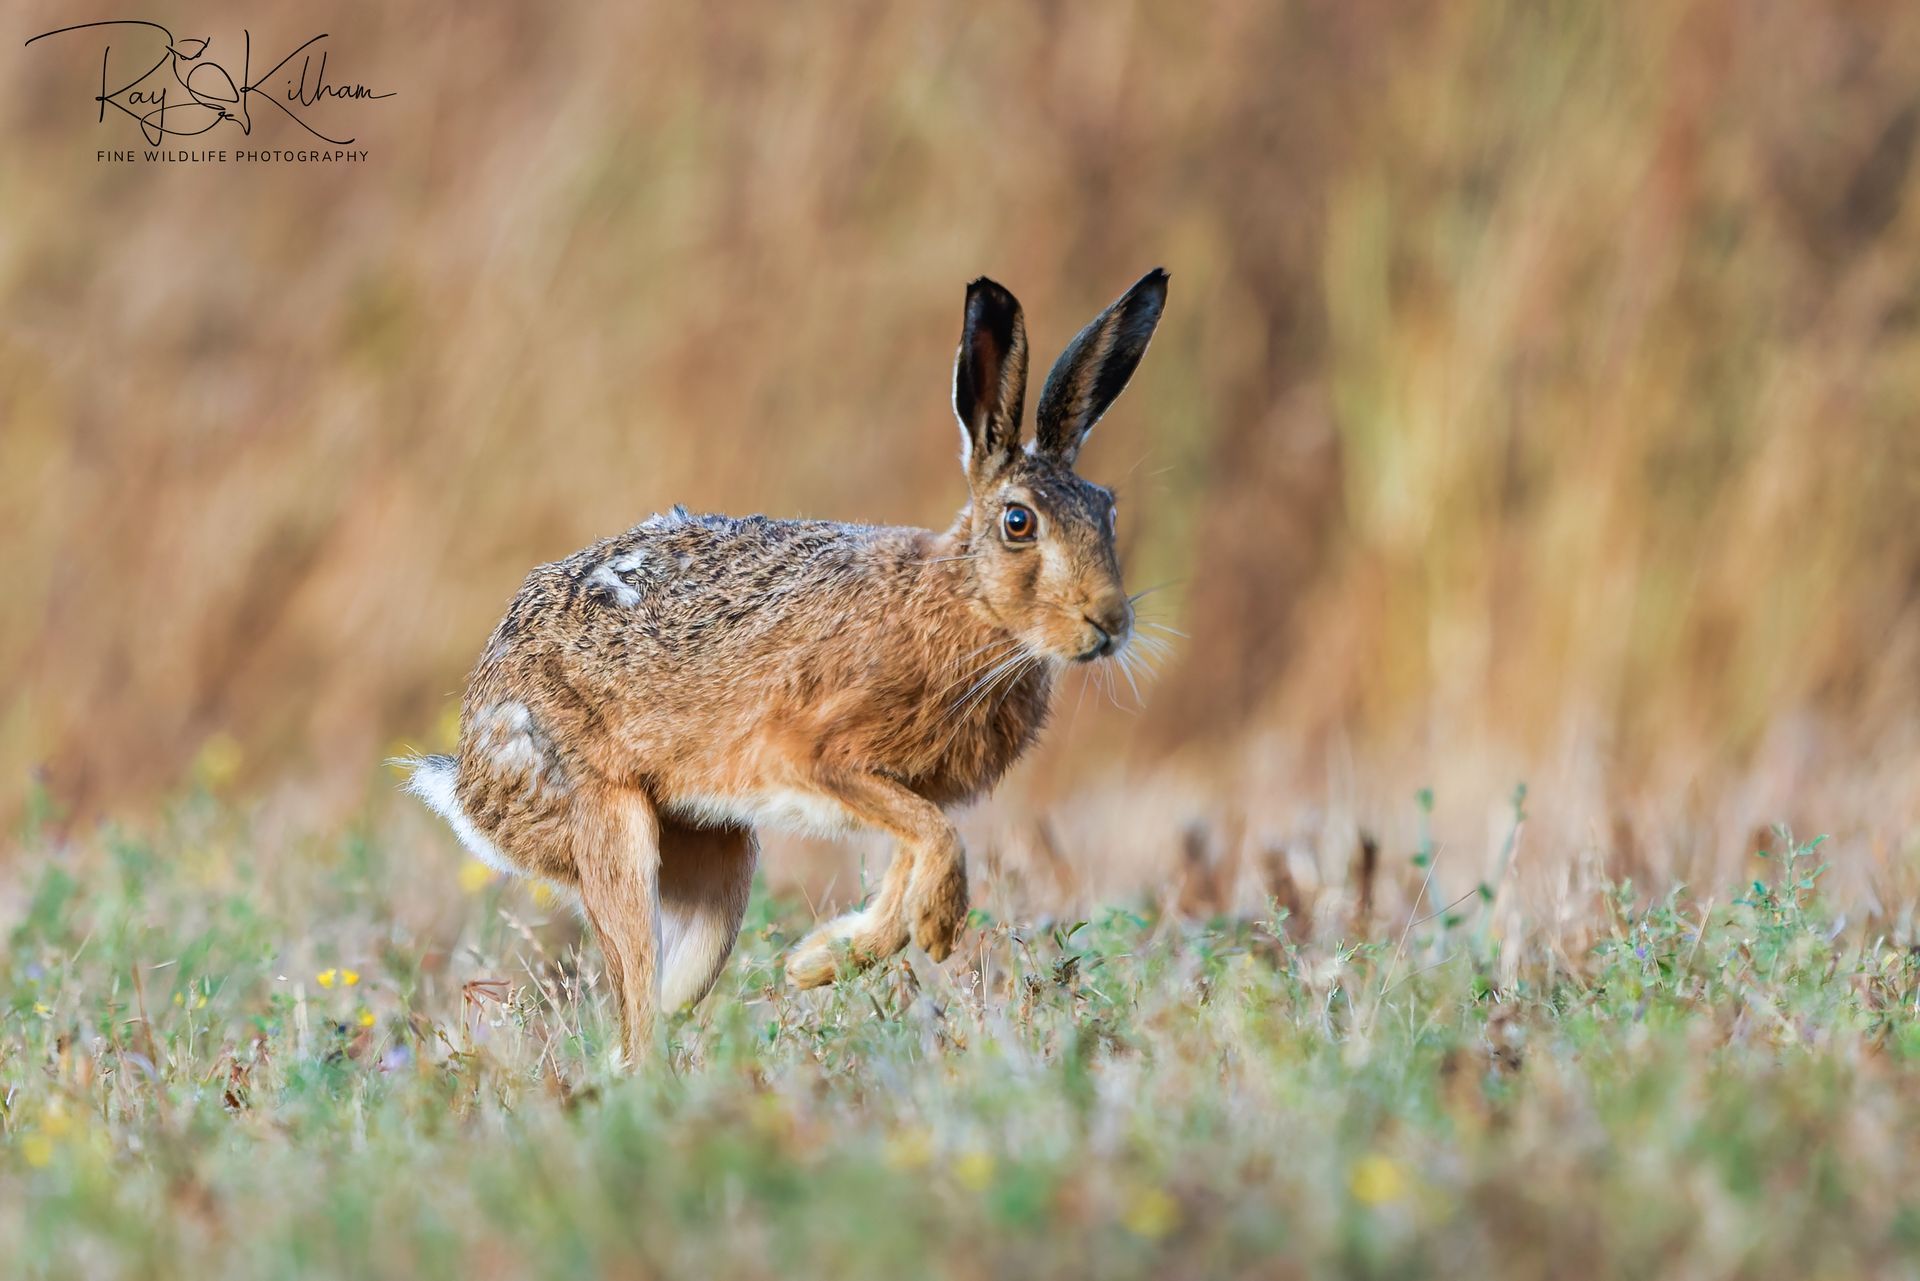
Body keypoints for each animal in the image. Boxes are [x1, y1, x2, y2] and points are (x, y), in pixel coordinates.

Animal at [403, 268, 1168, 1063]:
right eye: (1020, 523)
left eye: (1108, 512)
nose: (1110, 623)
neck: (964, 601)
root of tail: (471, 780)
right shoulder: (826, 759)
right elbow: (938, 840)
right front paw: (933, 930)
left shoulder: (900, 790)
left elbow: (915, 855)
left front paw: (822, 960)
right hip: (607, 826)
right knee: (633, 1006)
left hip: (720, 861)